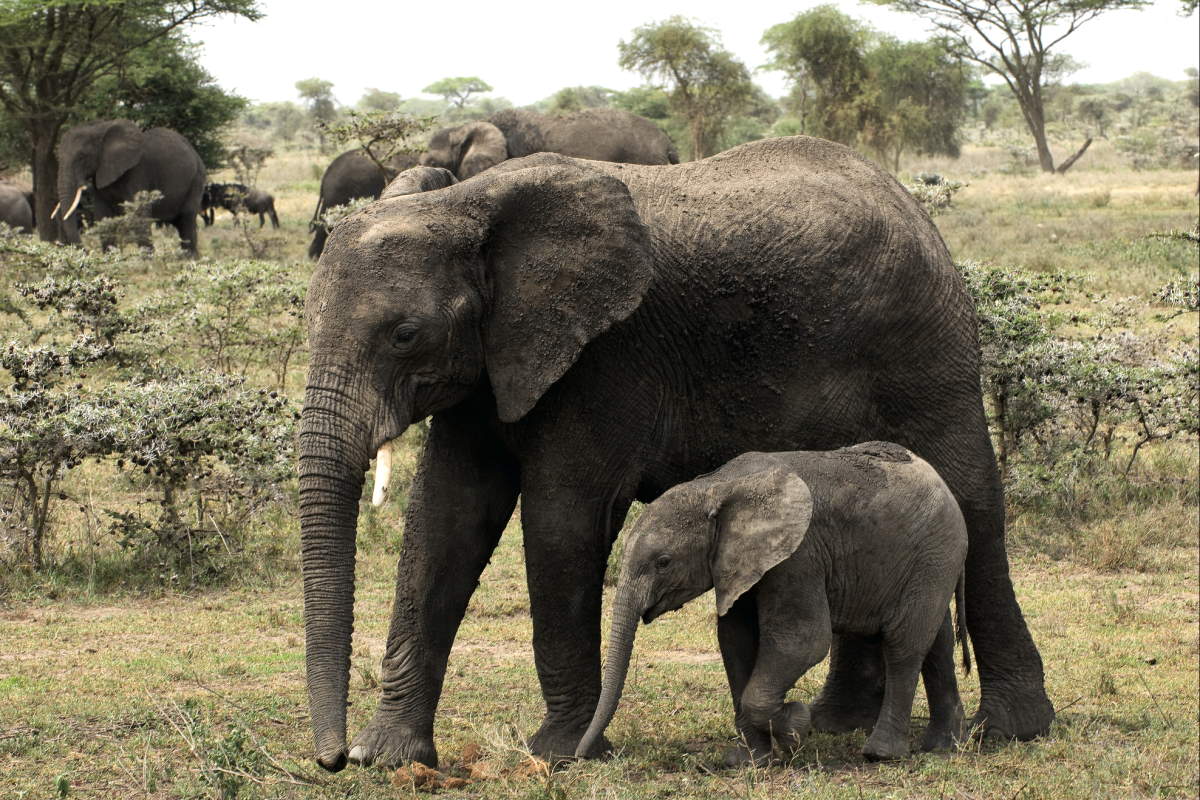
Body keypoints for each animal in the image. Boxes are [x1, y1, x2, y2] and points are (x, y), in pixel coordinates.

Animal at [55, 118, 205, 253]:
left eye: (82, 157)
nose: (86, 251)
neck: (102, 128)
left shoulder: (138, 171)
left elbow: (140, 212)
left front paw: (147, 260)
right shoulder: (100, 172)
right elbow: (103, 214)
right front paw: (110, 257)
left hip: (197, 178)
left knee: (186, 219)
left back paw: (188, 258)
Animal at [576, 443, 969, 762]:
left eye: (663, 562)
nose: (580, 756)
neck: (716, 485)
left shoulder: (800, 554)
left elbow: (803, 640)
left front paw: (796, 729)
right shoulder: (739, 560)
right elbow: (735, 640)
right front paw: (751, 761)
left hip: (933, 553)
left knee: (904, 643)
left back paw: (881, 754)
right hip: (933, 561)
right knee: (936, 641)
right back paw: (943, 746)